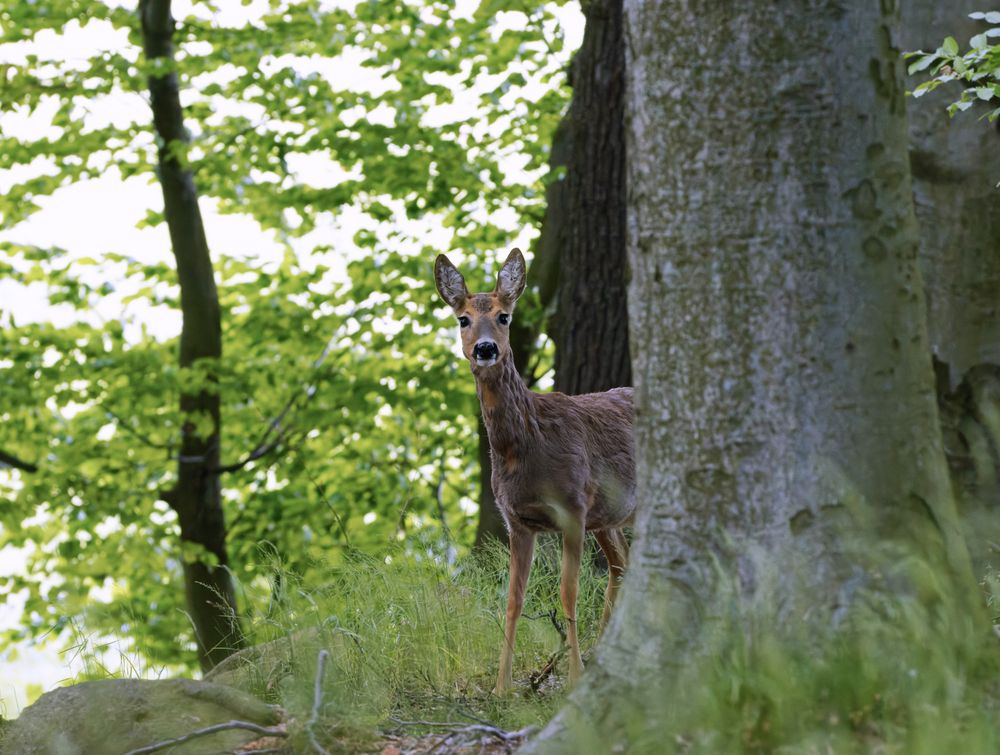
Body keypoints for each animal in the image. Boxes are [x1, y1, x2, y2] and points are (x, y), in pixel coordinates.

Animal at [434, 250, 636, 696]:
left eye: (505, 316)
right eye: (463, 319)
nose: (486, 348)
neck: (526, 444)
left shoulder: (573, 507)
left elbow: (568, 592)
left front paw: (572, 678)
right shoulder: (518, 521)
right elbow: (513, 600)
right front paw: (501, 688)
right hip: (608, 515)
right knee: (622, 564)